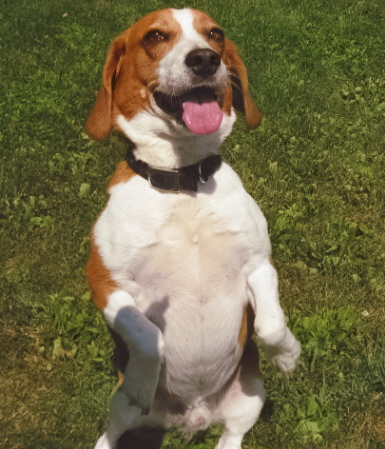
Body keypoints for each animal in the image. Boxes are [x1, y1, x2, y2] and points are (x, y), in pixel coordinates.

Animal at [85, 7, 302, 448]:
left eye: (215, 34)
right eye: (154, 36)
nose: (205, 59)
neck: (182, 181)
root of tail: (195, 416)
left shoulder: (259, 263)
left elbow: (271, 326)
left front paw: (288, 354)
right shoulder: (104, 281)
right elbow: (149, 337)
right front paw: (142, 381)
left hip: (250, 395)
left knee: (232, 435)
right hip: (118, 409)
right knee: (114, 429)